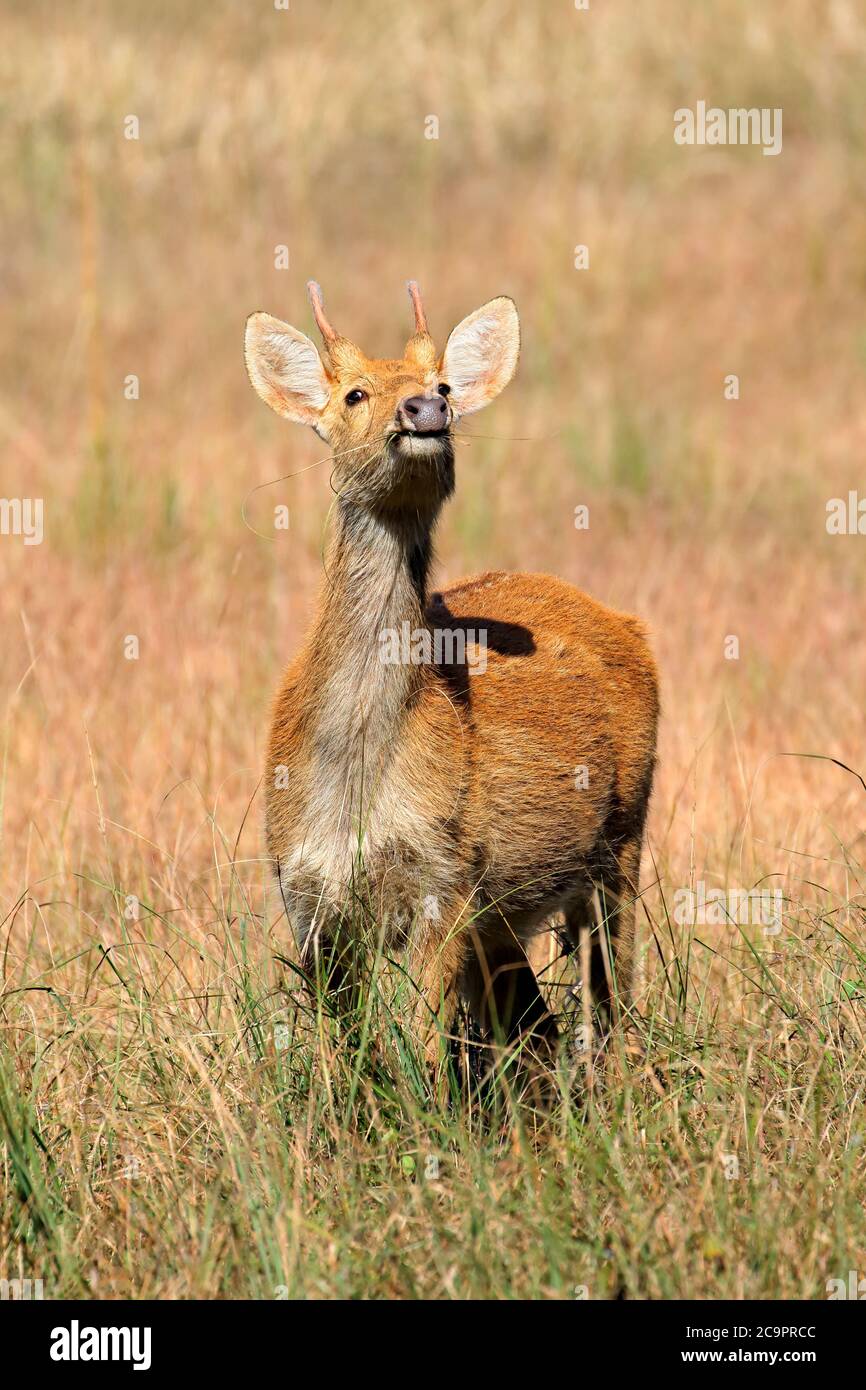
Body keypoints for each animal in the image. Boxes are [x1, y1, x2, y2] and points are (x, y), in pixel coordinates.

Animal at [244, 279, 656, 1061]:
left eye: (441, 385)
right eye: (354, 394)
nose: (425, 411)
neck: (358, 775)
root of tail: (625, 620)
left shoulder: (447, 877)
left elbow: (423, 1048)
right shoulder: (305, 895)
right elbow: (341, 1056)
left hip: (621, 842)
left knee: (606, 1006)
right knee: (539, 1026)